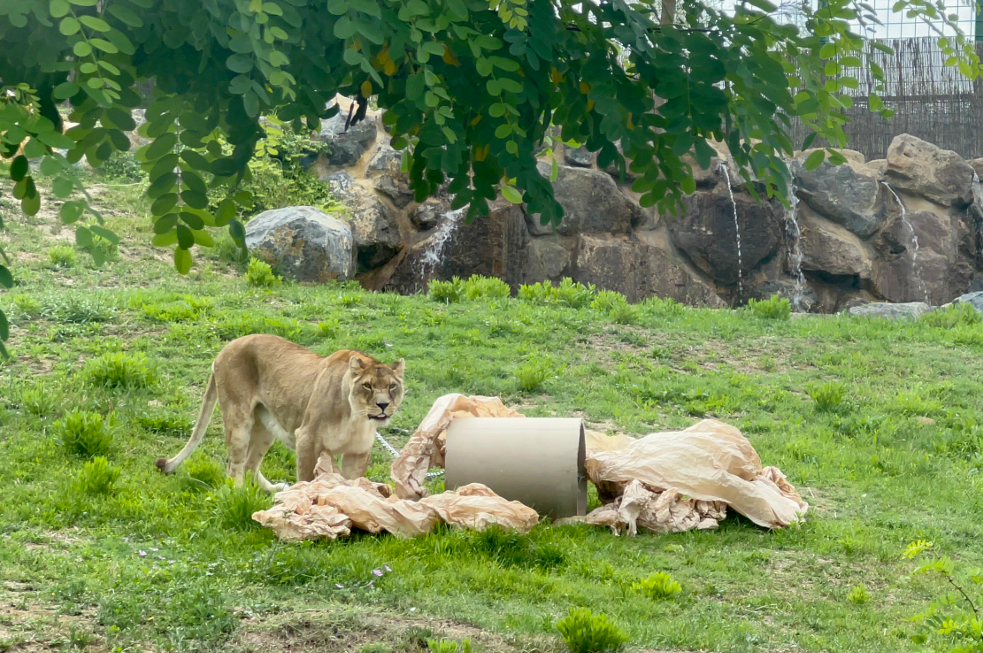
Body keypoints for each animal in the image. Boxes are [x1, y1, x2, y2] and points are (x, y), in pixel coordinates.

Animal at [155, 334, 405, 492]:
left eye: (392, 386)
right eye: (368, 385)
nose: (383, 405)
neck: (357, 417)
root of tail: (225, 348)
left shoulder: (358, 452)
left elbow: (354, 482)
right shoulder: (307, 439)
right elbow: (306, 479)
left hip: (266, 427)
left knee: (250, 465)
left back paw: (274, 489)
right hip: (239, 419)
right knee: (234, 465)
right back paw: (237, 493)